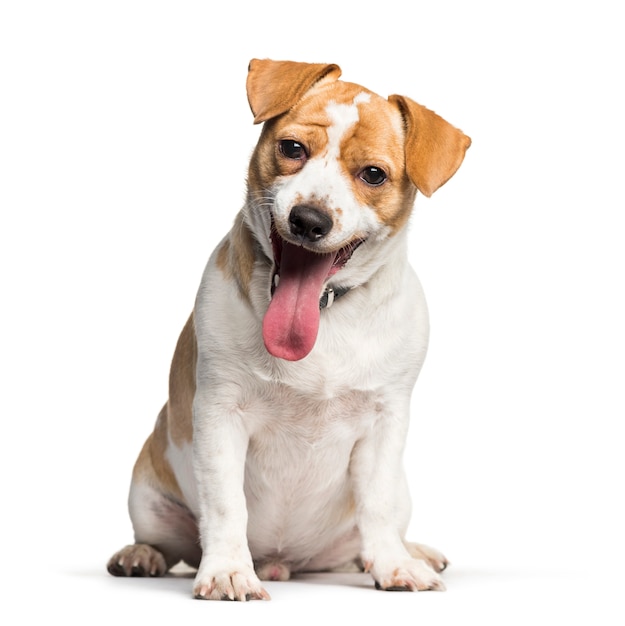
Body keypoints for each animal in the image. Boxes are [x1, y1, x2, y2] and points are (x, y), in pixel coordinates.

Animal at [106, 59, 468, 600]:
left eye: (374, 175)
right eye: (293, 149)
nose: (310, 220)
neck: (326, 315)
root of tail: (285, 560)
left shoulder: (386, 423)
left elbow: (377, 505)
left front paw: (393, 565)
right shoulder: (219, 414)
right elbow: (225, 504)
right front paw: (228, 570)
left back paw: (410, 551)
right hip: (147, 495)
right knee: (170, 543)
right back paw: (142, 554)